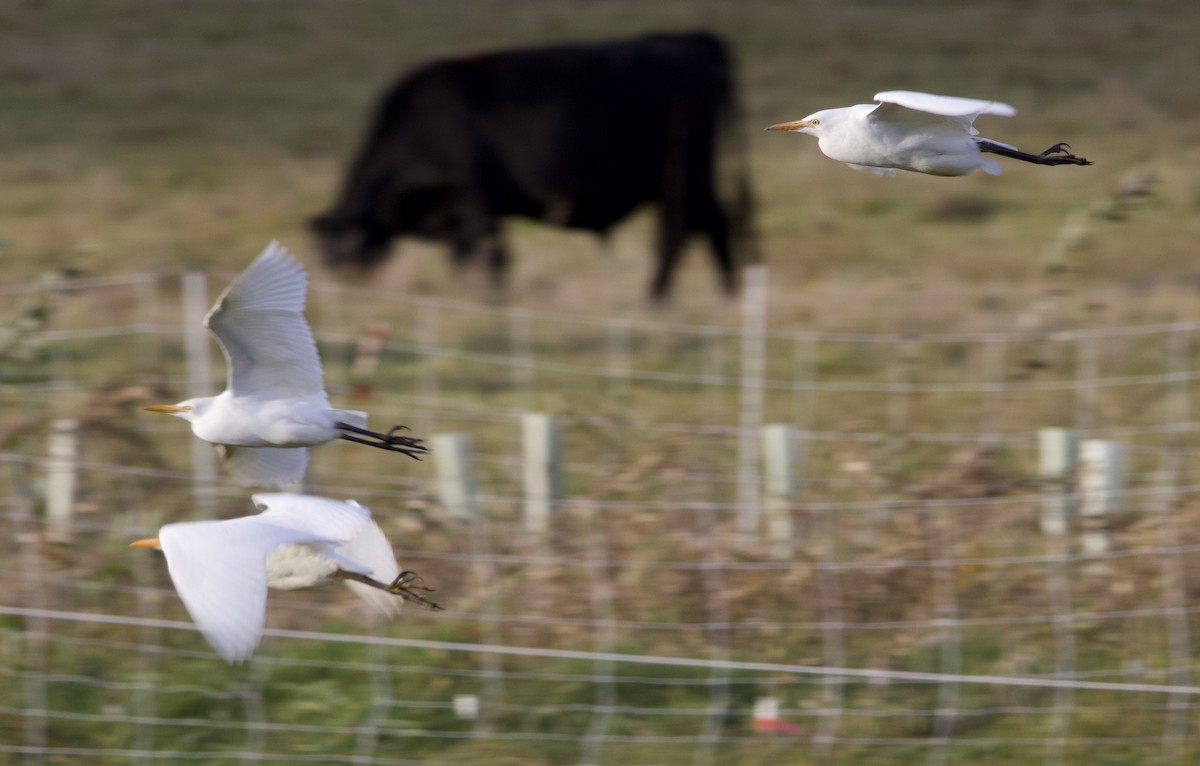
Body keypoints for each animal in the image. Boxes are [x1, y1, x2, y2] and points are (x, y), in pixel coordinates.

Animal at [311, 32, 755, 302]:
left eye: (340, 253)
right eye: (323, 256)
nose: (342, 294)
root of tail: (690, 38)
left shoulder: (477, 204)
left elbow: (493, 259)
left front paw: (494, 304)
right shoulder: (458, 216)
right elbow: (465, 261)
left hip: (680, 178)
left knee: (681, 232)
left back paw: (656, 301)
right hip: (686, 182)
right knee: (712, 225)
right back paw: (727, 295)